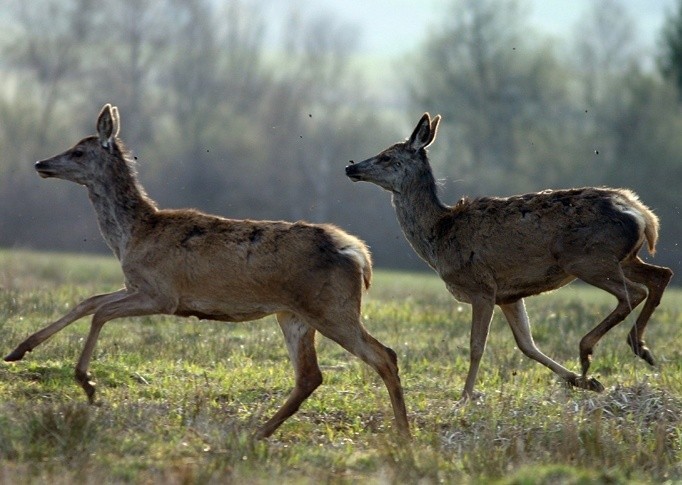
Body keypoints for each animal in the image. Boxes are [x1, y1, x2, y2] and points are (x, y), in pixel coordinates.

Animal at [6, 103, 410, 438]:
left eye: (78, 151)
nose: (41, 163)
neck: (134, 234)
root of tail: (358, 254)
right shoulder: (136, 284)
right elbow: (88, 301)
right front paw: (18, 350)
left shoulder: (163, 293)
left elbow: (101, 312)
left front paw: (87, 384)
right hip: (294, 314)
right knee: (310, 376)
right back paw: (259, 432)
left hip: (332, 308)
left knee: (384, 355)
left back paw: (404, 436)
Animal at [348, 113, 672, 400]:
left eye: (387, 156)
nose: (351, 168)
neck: (438, 236)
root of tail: (643, 215)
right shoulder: (509, 294)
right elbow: (526, 344)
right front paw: (587, 383)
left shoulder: (481, 286)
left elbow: (477, 345)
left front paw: (464, 398)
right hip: (621, 258)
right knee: (661, 275)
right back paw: (639, 348)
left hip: (587, 258)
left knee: (634, 291)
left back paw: (589, 349)